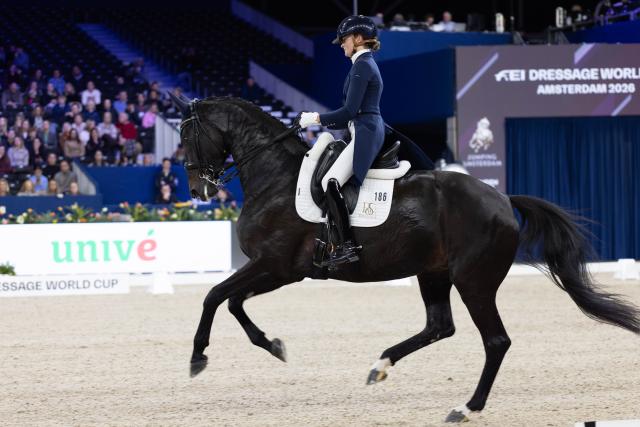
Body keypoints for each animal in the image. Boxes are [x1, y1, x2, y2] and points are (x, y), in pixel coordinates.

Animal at [169, 93, 640, 423]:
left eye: (186, 135)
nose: (198, 190)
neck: (277, 180)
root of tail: (504, 199)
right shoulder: (278, 271)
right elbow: (231, 301)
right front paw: (274, 345)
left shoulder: (276, 266)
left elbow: (214, 296)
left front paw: (197, 358)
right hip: (433, 273)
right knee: (439, 326)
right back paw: (380, 366)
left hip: (474, 281)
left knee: (495, 341)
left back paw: (465, 408)